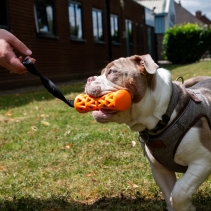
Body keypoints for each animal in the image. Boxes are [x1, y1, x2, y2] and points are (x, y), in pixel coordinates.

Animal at [84, 54, 211, 211]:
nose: (89, 79)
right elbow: (169, 195)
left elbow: (179, 191)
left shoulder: (202, 161)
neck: (164, 116)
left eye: (112, 72)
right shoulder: (160, 170)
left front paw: (186, 207)